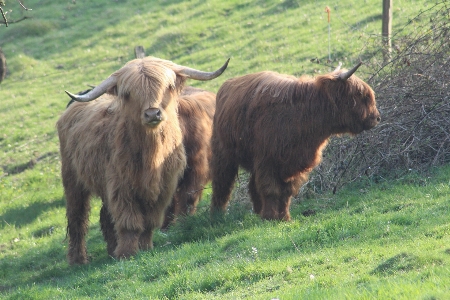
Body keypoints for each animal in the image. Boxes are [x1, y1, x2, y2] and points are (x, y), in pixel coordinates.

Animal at [57, 56, 229, 264]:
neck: (152, 156)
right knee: (77, 218)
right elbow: (129, 222)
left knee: (105, 216)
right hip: (72, 179)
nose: (152, 113)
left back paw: (111, 251)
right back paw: (78, 259)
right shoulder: (121, 187)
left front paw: (145, 248)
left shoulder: (165, 187)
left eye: (168, 86)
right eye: (129, 93)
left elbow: (150, 221)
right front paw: (127, 253)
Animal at [210, 62, 380, 220]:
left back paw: (258, 211)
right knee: (222, 183)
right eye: (360, 94)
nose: (377, 118)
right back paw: (217, 214)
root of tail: (227, 84)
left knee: (252, 185)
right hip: (222, 153)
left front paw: (284, 217)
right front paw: (270, 217)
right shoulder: (267, 160)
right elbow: (270, 189)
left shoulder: (293, 163)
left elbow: (286, 192)